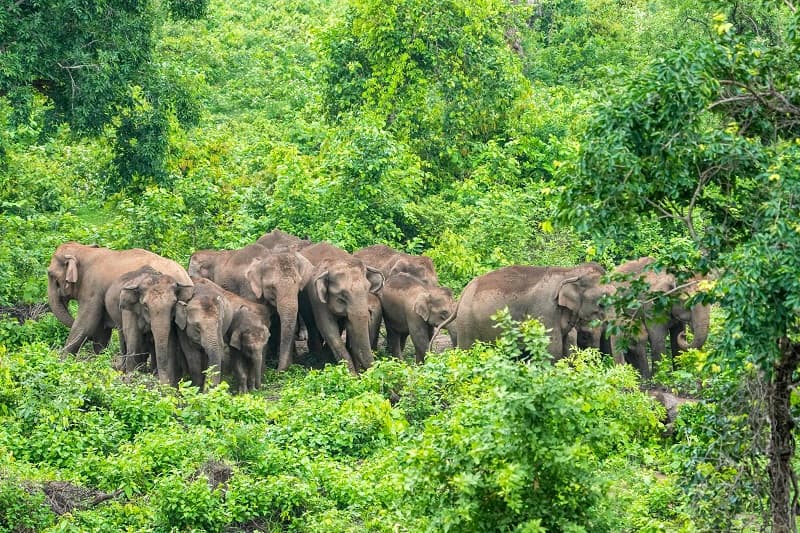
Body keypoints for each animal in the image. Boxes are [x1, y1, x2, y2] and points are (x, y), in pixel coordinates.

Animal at [48, 242, 193, 355]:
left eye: (51, 275)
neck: (84, 250)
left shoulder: (92, 289)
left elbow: (87, 323)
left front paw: (62, 358)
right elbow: (101, 332)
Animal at [298, 242, 384, 375]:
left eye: (367, 290)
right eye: (342, 297)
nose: (363, 373)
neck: (336, 261)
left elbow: (349, 326)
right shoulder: (317, 299)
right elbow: (328, 329)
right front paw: (351, 375)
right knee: (311, 324)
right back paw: (317, 357)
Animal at [447, 263, 615, 360]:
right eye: (602, 303)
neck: (570, 272)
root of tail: (464, 292)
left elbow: (566, 345)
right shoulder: (545, 311)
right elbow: (552, 350)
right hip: (467, 322)